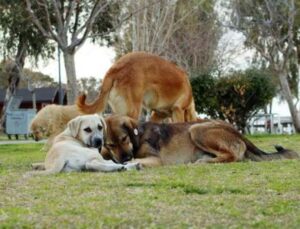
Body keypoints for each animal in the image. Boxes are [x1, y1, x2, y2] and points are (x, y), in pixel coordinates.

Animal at [101, 115, 300, 167]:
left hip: (196, 129)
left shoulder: (156, 159)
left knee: (233, 156)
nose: (125, 158)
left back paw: (204, 161)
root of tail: (236, 131)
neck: (138, 136)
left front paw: (132, 163)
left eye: (124, 138)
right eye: (111, 144)